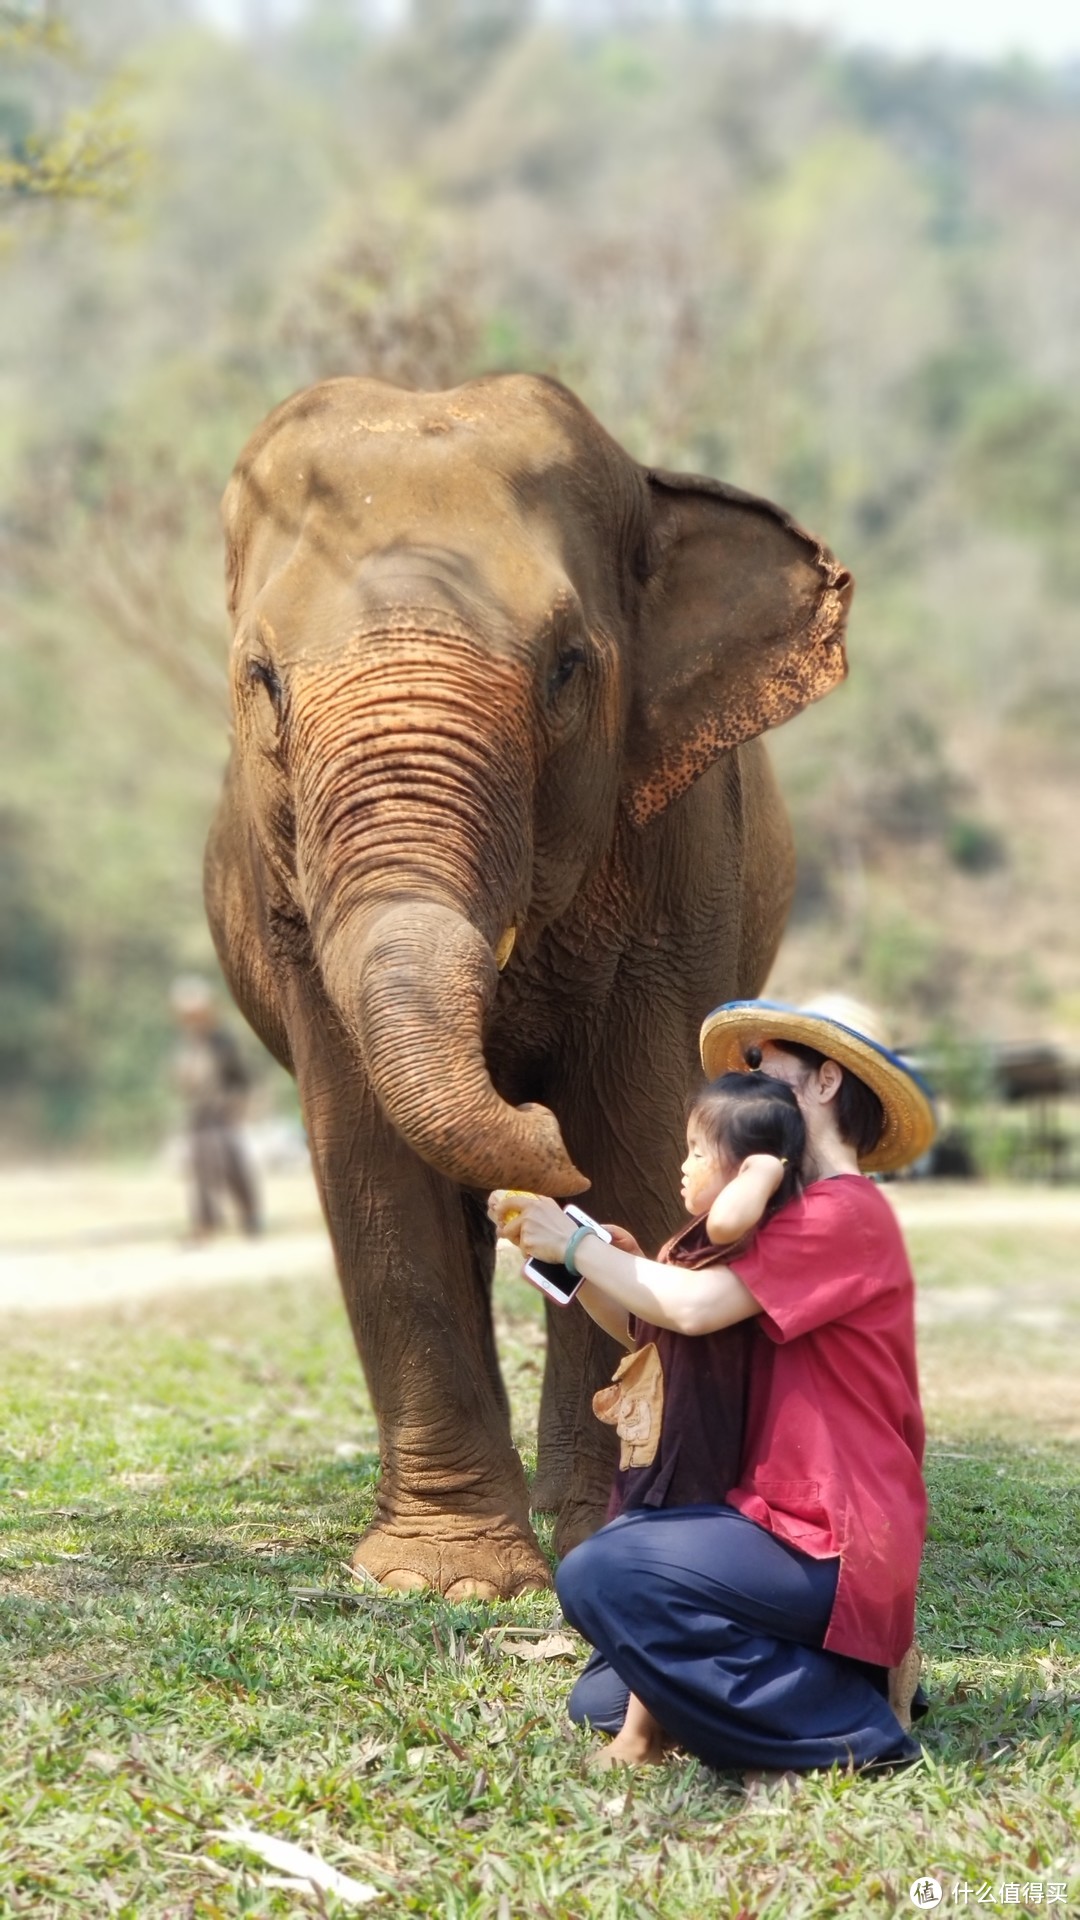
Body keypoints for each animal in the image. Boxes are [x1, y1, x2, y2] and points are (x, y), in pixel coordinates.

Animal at [203, 374, 849, 1605]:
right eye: (260, 679)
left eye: (567, 669)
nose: (528, 1118)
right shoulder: (287, 897)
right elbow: (365, 1160)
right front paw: (443, 1581)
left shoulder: (677, 852)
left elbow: (637, 1124)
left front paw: (601, 1531)